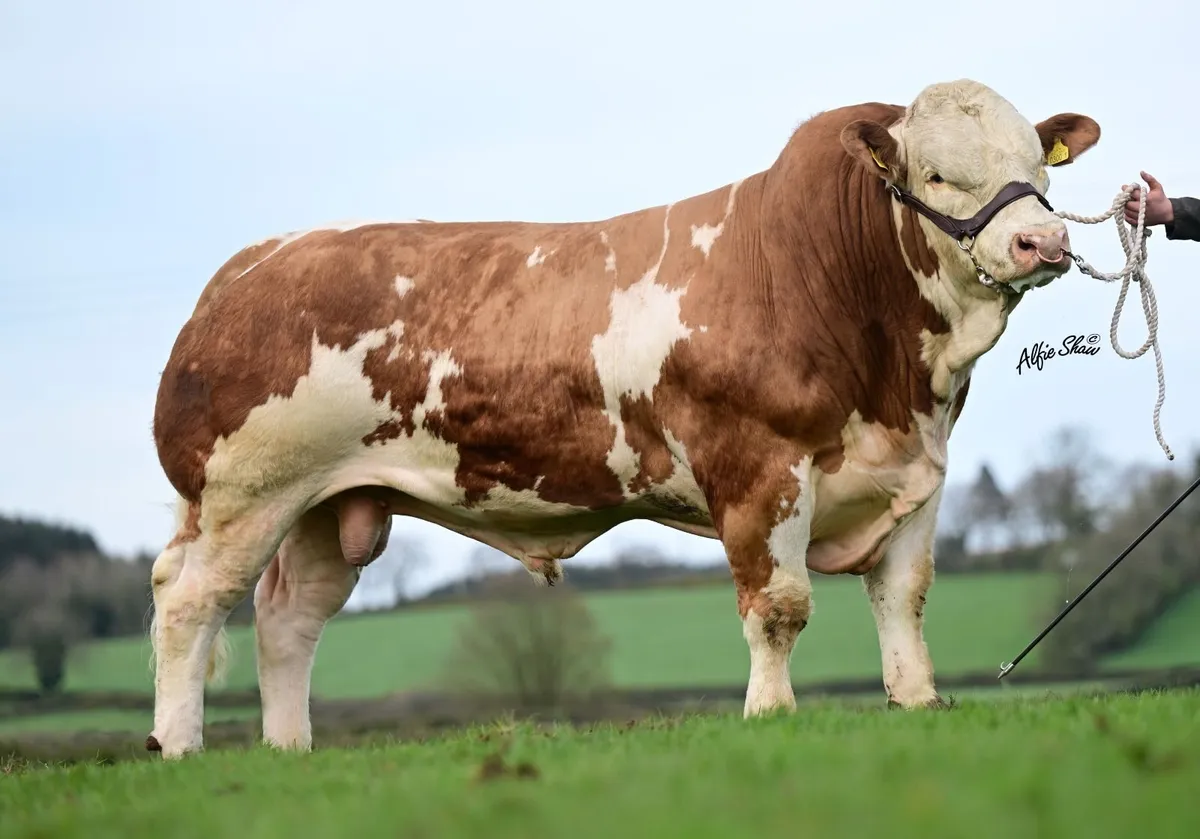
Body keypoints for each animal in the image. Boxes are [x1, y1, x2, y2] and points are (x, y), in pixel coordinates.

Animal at [145, 78, 1100, 758]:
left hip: (327, 505)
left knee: (288, 619)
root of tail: (253, 263)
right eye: (938, 173)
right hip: (246, 494)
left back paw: (289, 749)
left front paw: (917, 701)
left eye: (1041, 164)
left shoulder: (917, 475)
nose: (1041, 242)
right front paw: (772, 713)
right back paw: (179, 745)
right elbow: (779, 605)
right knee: (190, 604)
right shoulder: (758, 471)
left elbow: (905, 597)